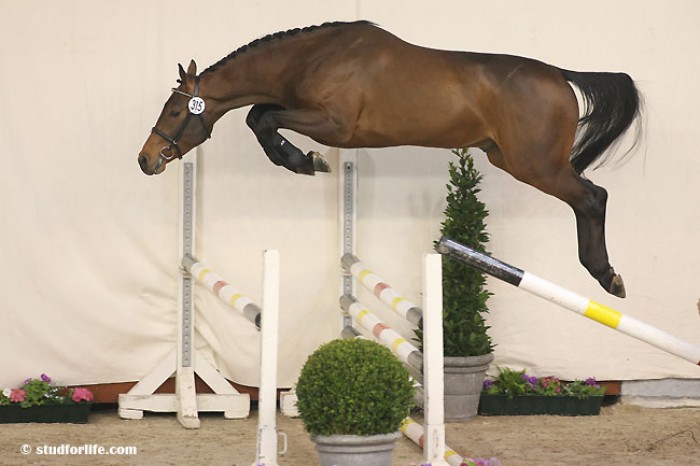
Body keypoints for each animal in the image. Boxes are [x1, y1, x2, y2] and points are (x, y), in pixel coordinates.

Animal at [138, 21, 642, 298]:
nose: (146, 160)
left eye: (176, 111)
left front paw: (305, 161)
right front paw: (300, 160)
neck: (313, 57)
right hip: (511, 160)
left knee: (593, 197)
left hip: (535, 166)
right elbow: (259, 115)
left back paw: (606, 275)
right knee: (586, 198)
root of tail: (560, 75)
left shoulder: (334, 124)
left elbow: (262, 120)